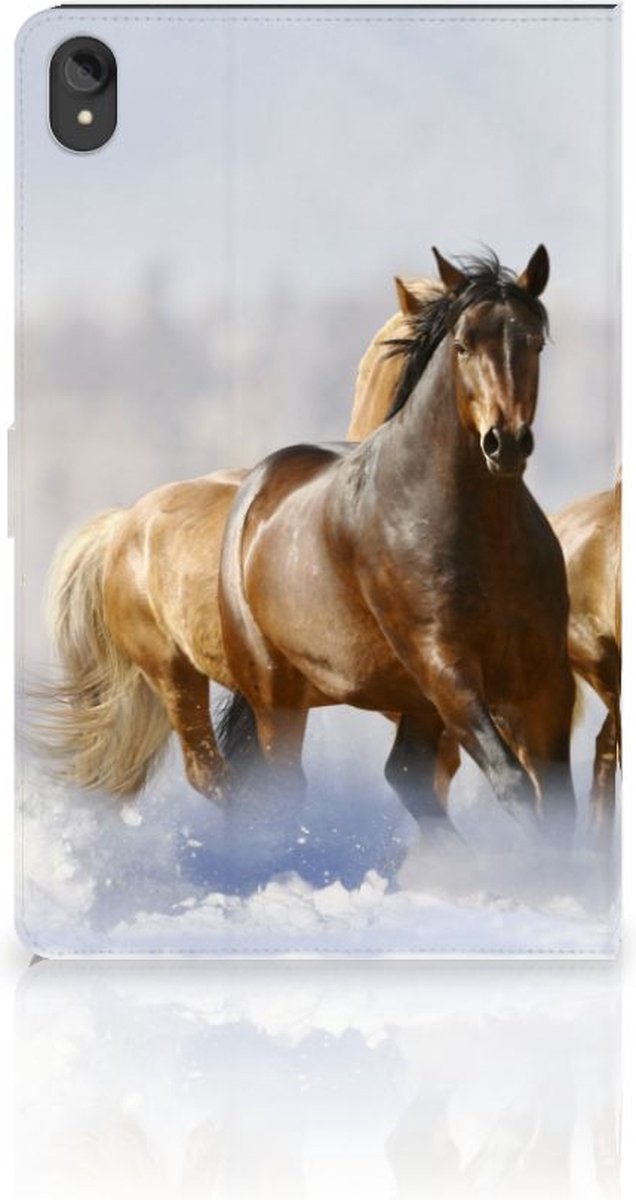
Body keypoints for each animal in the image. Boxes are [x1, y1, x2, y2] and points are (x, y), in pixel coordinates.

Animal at [218, 246, 577, 837]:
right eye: (462, 344)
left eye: (534, 342)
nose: (505, 443)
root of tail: (257, 488)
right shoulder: (446, 668)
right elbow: (514, 784)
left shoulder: (544, 678)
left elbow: (558, 802)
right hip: (277, 694)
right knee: (284, 788)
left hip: (412, 702)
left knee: (407, 773)